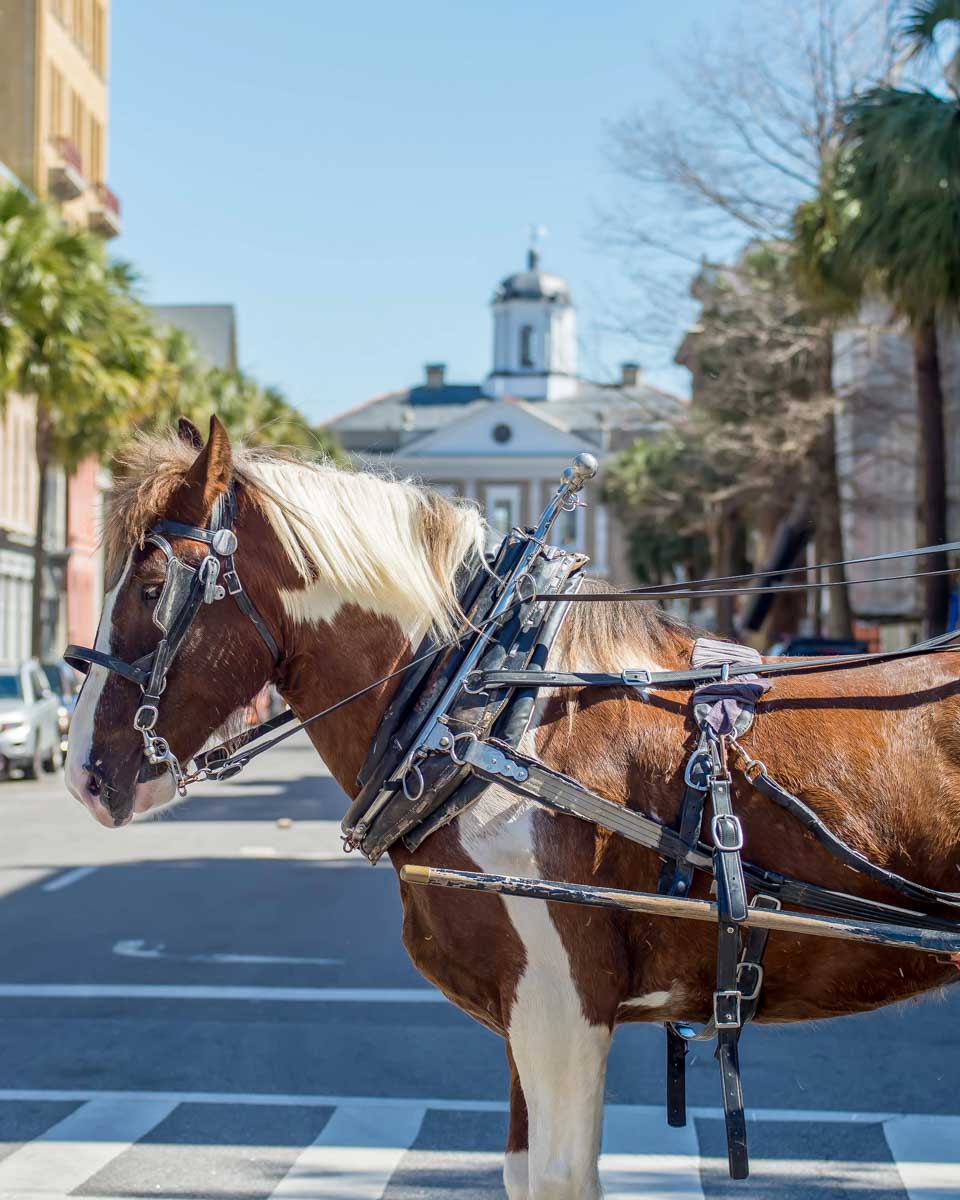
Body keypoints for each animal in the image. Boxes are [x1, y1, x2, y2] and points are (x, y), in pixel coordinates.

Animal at [65, 415, 960, 1199]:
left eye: (152, 587)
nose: (81, 777)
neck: (484, 708)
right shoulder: (519, 1013)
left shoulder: (562, 1010)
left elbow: (561, 1178)